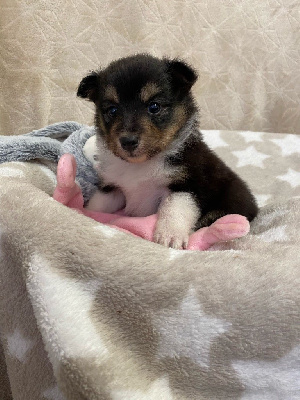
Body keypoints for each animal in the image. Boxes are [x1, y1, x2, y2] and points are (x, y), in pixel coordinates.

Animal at [77, 53, 258, 247]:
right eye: (112, 110)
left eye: (154, 107)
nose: (128, 141)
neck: (141, 165)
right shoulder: (113, 187)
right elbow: (98, 204)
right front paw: (83, 212)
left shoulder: (188, 183)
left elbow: (173, 209)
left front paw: (170, 237)